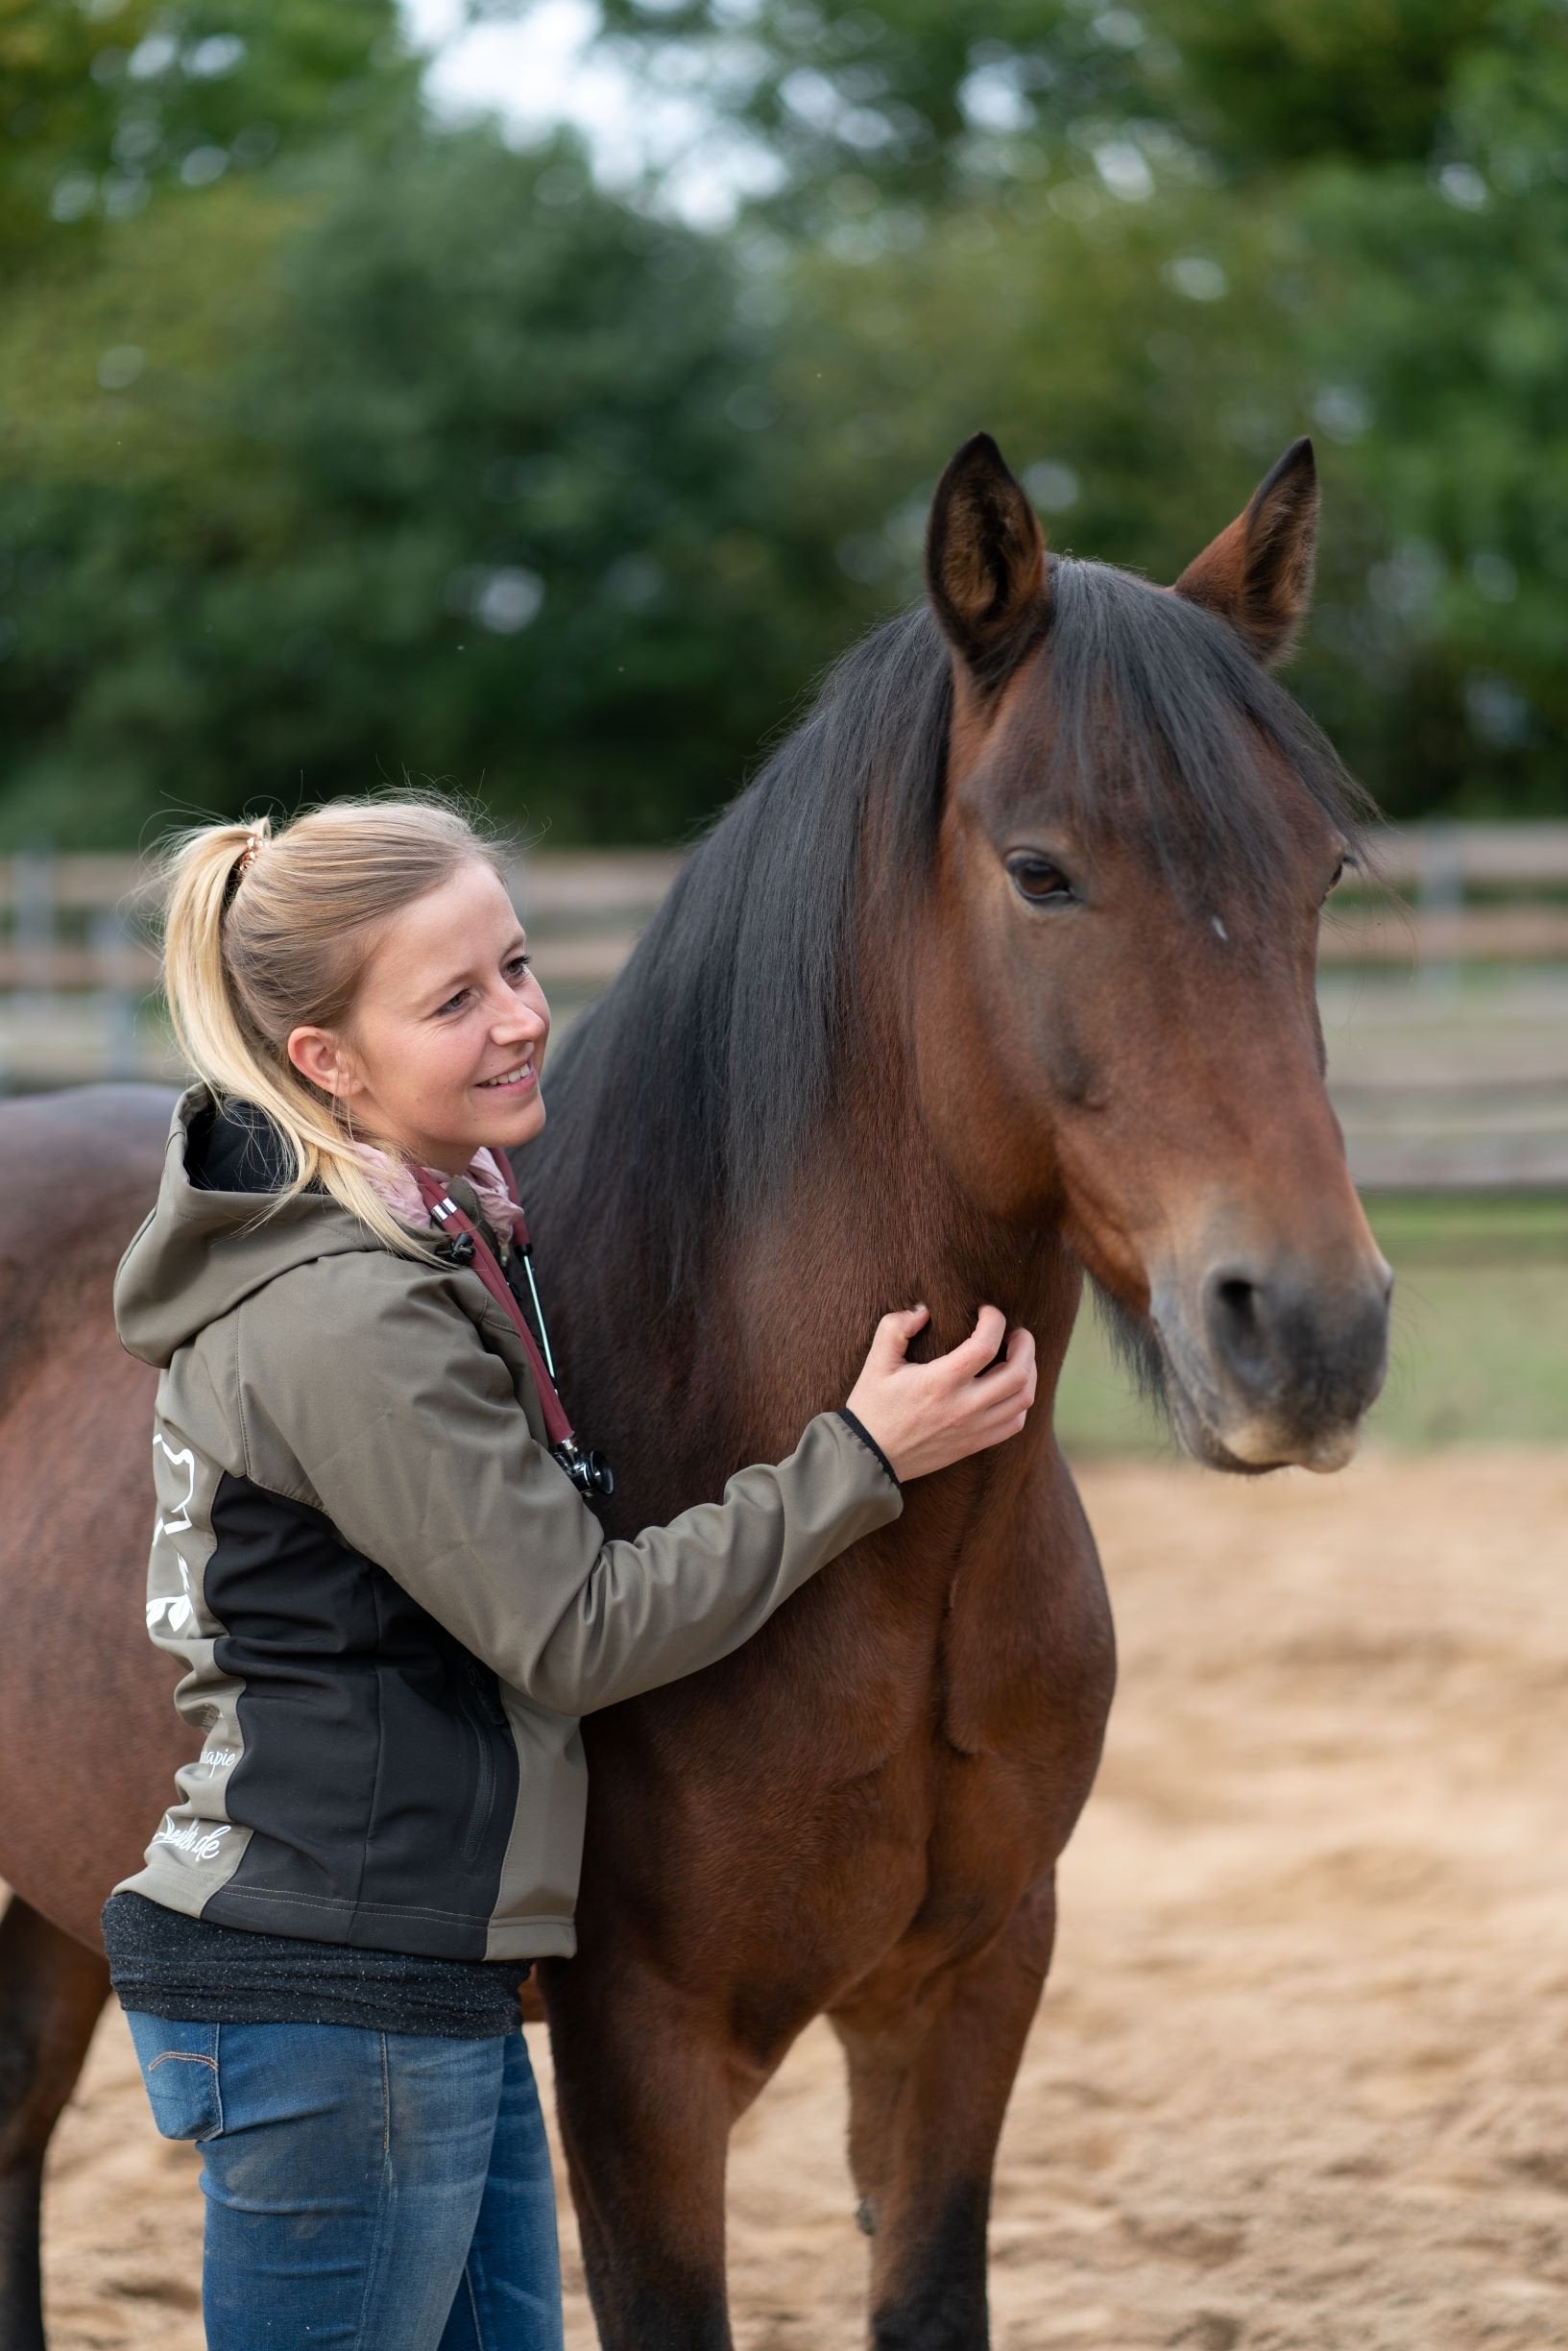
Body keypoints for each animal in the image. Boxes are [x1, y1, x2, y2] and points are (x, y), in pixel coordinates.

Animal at [0, 432, 1391, 2341]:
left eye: (1319, 871)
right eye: (1041, 871)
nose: (1307, 1328)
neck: (899, 1575)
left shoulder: (965, 1998)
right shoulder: (641, 2059)